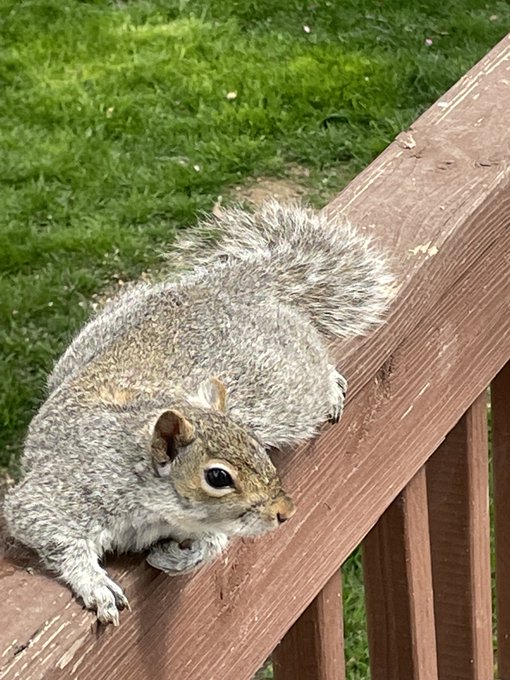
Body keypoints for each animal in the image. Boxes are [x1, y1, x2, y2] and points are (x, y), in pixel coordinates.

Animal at [3, 201, 393, 625]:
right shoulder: (64, 493)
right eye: (218, 477)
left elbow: (215, 543)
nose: (285, 512)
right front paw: (95, 584)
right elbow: (48, 530)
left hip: (280, 394)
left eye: (258, 449)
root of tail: (232, 284)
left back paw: (332, 383)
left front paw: (180, 558)